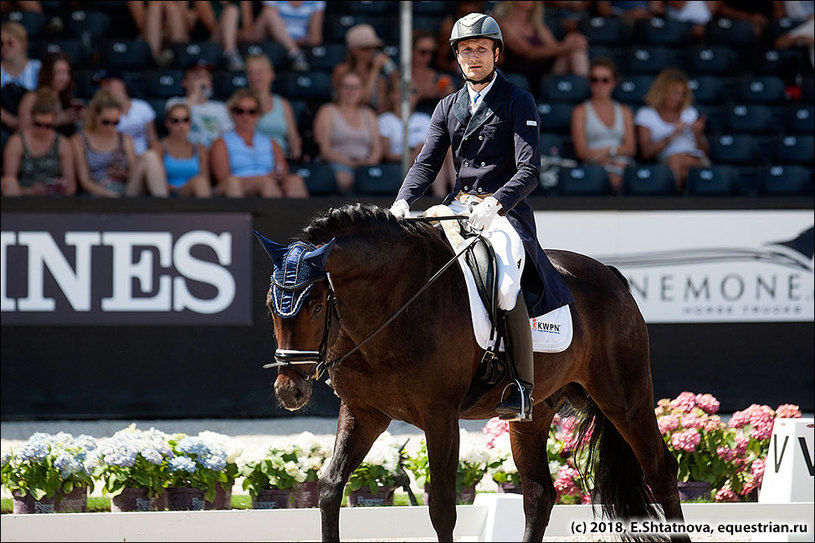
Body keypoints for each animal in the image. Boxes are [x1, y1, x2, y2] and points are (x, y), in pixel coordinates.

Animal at [260, 202, 688, 540]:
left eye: (316, 305)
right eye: (269, 305)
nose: (288, 391)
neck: (392, 306)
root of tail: (610, 275)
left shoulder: (440, 415)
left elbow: (442, 507)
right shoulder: (363, 413)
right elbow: (330, 488)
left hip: (624, 399)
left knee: (661, 469)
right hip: (532, 415)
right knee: (539, 494)